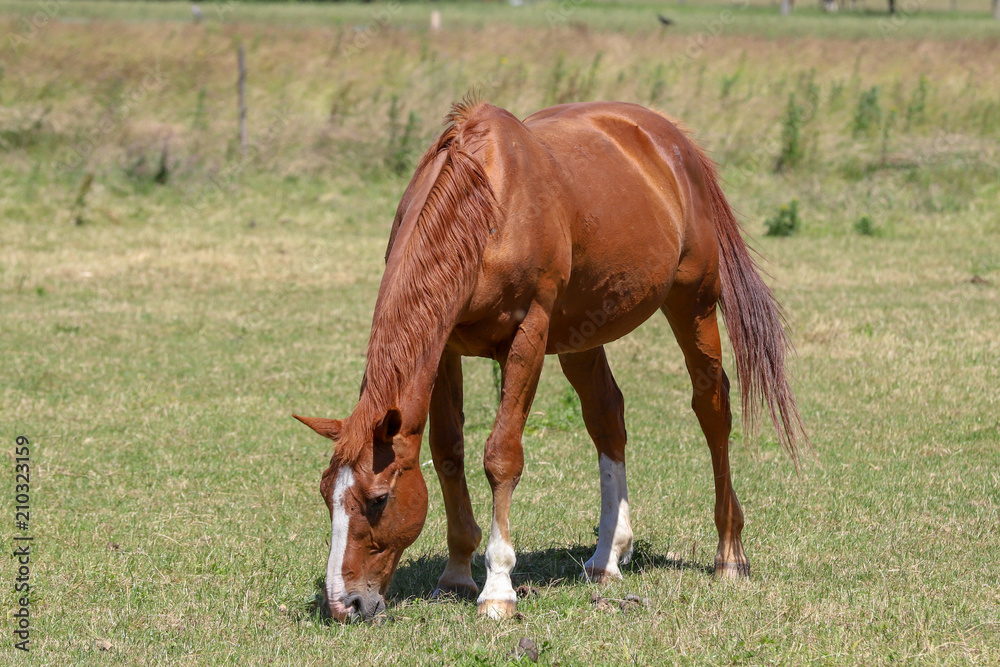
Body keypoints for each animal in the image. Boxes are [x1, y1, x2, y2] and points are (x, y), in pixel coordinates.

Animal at [295, 99, 806, 622]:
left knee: (712, 407)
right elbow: (448, 452)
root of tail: (675, 142)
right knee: (607, 418)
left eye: (378, 499)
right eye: (326, 494)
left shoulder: (528, 337)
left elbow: (501, 456)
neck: (488, 204)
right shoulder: (445, 348)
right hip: (584, 335)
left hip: (693, 304)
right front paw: (456, 574)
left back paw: (729, 554)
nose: (344, 603)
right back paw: (606, 558)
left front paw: (497, 588)